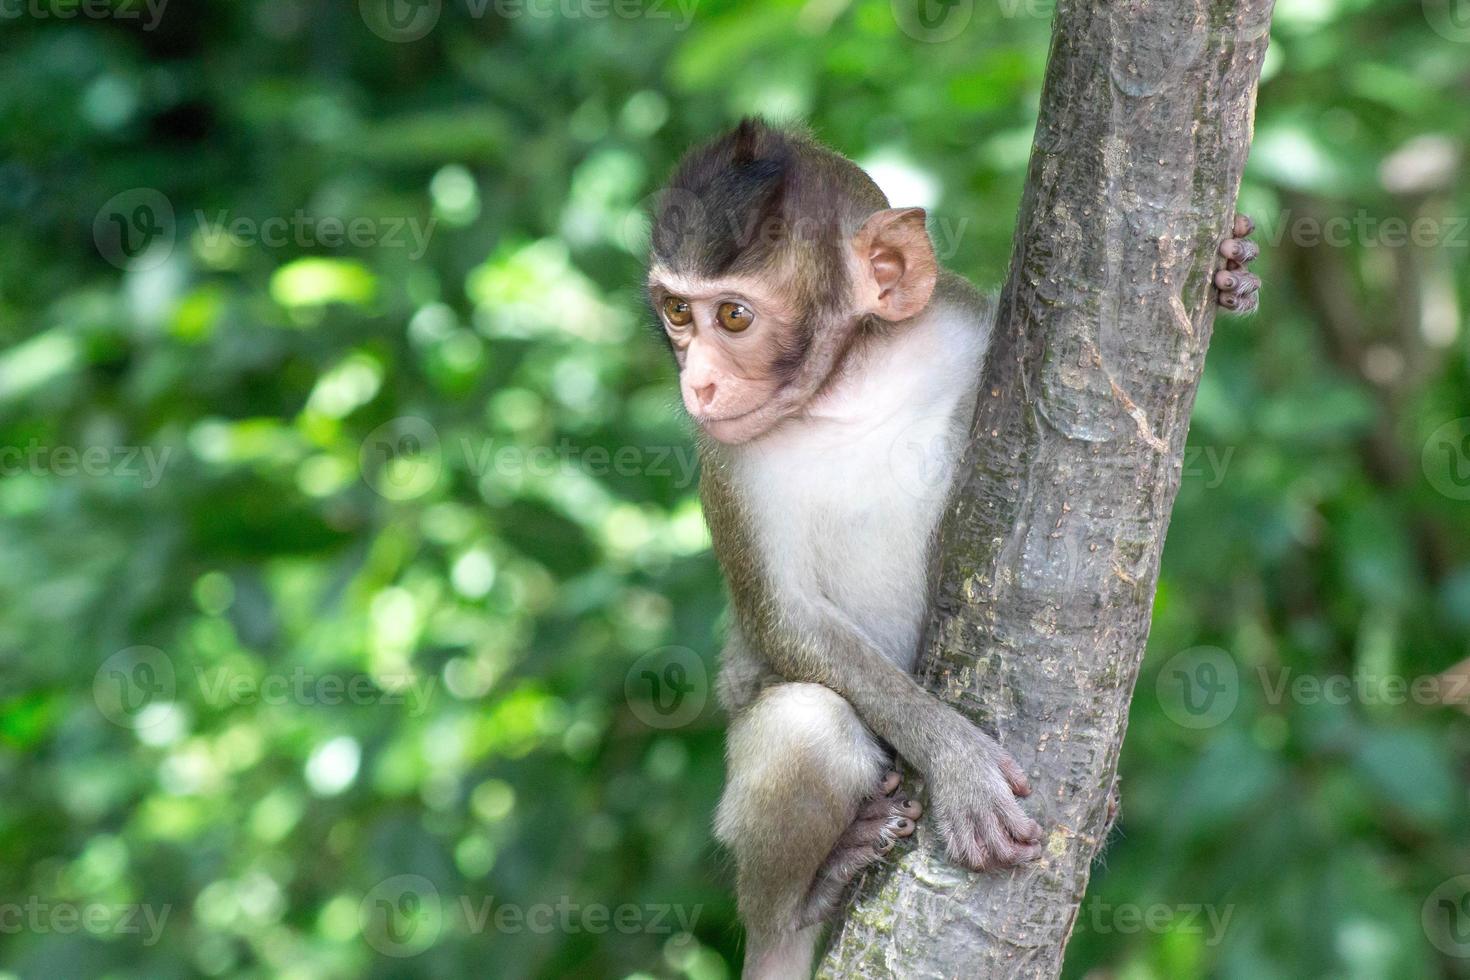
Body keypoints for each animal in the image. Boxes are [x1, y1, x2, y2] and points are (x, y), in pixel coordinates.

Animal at [649, 119, 1258, 975]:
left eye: (732, 317)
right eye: (678, 311)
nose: (697, 383)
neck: (847, 388)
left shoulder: (960, 321)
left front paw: (1235, 276)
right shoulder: (724, 462)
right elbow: (784, 618)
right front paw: (959, 763)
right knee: (806, 724)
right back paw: (801, 906)